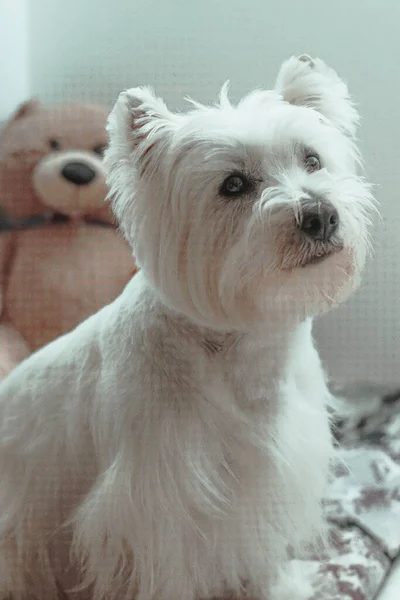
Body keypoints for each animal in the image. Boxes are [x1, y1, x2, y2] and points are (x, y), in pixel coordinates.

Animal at [0, 54, 374, 596]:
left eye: (312, 160)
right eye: (232, 185)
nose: (320, 215)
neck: (242, 348)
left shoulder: (274, 477)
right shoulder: (156, 507)